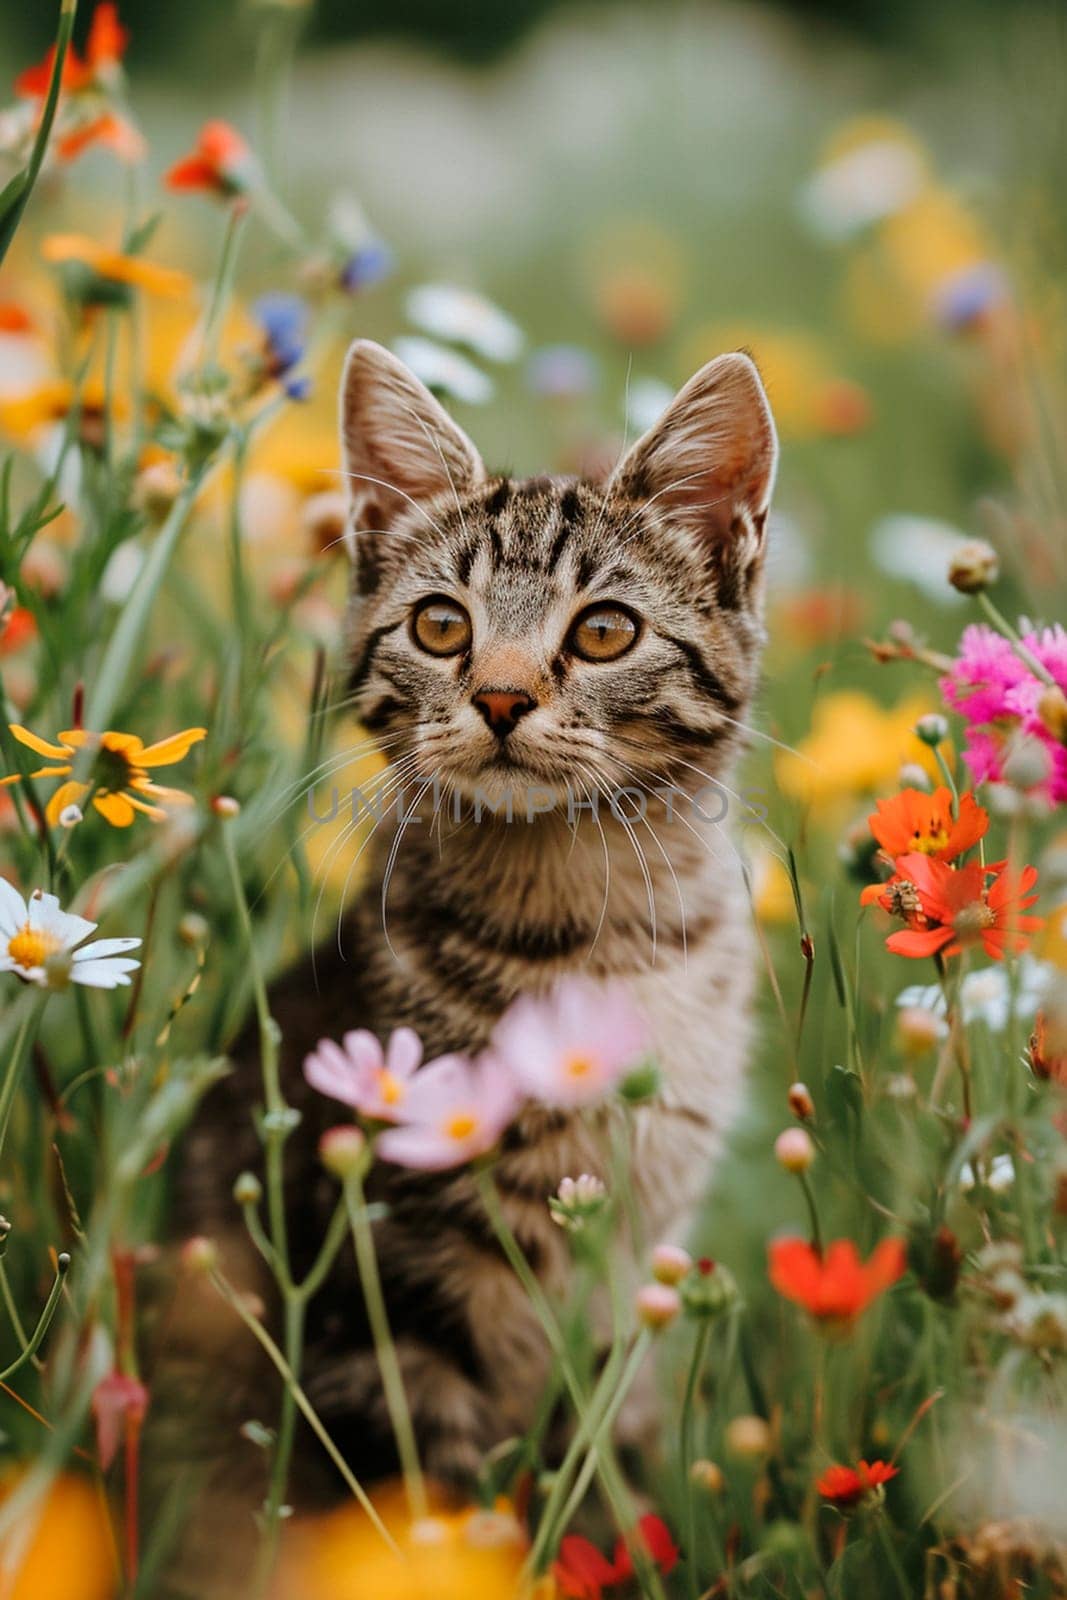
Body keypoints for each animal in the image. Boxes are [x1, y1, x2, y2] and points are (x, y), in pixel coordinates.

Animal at [173, 344, 777, 1529]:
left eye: (603, 629)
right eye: (441, 625)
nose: (499, 697)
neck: (584, 926)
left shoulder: (629, 1260)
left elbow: (603, 1456)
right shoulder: (377, 1283)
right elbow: (432, 1494)